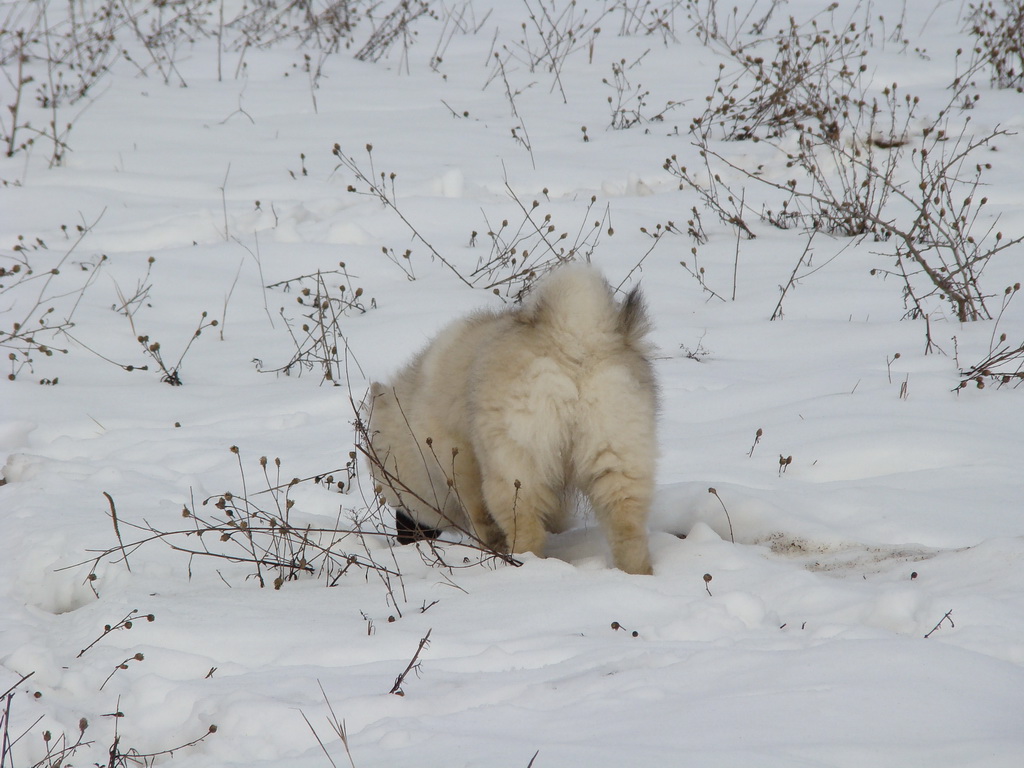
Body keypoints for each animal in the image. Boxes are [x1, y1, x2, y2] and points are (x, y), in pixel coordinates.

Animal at [366, 264, 655, 573]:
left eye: (389, 492)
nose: (402, 538)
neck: (410, 413)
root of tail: (574, 338)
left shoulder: (458, 459)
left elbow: (480, 517)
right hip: (618, 455)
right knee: (627, 527)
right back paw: (636, 573)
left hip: (516, 465)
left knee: (526, 528)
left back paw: (519, 564)